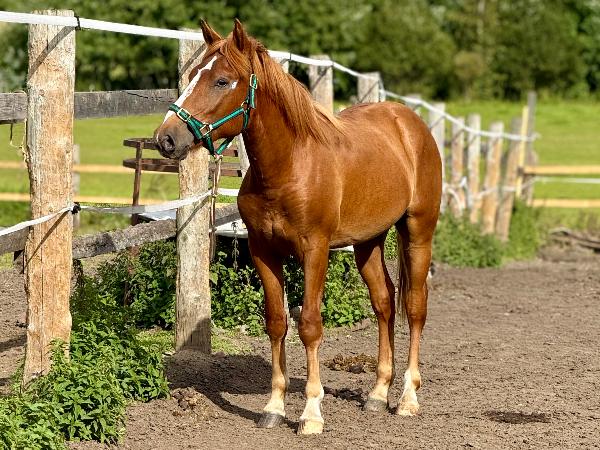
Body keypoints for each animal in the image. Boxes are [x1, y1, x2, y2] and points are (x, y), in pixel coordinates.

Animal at [155, 19, 441, 435]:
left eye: (222, 81)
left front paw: (311, 413)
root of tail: (409, 123)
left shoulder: (315, 250)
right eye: (192, 76)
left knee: (416, 307)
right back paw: (376, 394)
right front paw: (273, 407)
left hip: (418, 232)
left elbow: (309, 324)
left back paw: (407, 399)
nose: (167, 138)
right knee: (384, 303)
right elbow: (277, 322)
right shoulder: (263, 251)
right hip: (368, 242)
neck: (289, 166)